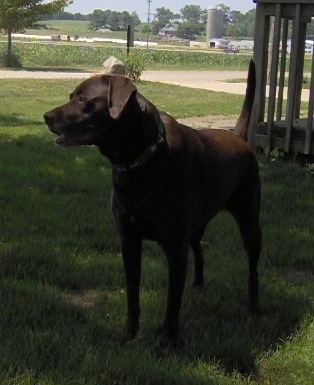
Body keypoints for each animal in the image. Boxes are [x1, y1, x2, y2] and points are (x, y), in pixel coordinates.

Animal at [43, 60, 260, 348]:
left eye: (82, 99)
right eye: (71, 96)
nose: (46, 116)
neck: (139, 161)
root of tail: (239, 137)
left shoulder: (175, 247)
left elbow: (172, 302)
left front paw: (168, 342)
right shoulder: (129, 239)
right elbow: (132, 292)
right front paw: (129, 333)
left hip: (249, 219)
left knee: (252, 265)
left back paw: (254, 307)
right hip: (196, 227)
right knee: (199, 249)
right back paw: (198, 286)